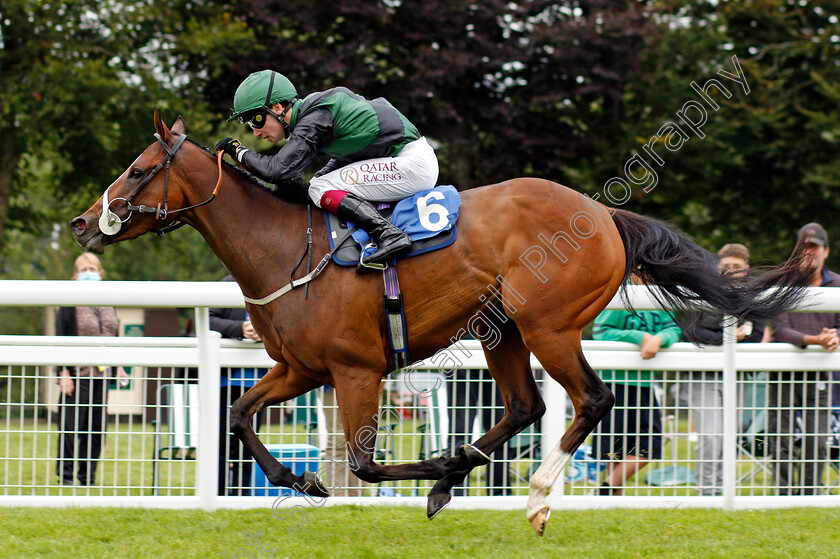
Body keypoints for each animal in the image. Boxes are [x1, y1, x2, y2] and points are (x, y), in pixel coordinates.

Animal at [69, 111, 804, 536]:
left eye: (137, 169)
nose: (81, 222)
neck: (283, 247)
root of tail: (606, 214)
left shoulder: (356, 369)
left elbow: (365, 464)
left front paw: (432, 468)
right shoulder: (299, 367)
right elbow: (240, 414)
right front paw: (304, 478)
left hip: (549, 326)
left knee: (592, 399)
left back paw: (534, 497)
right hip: (502, 330)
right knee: (527, 404)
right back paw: (462, 474)